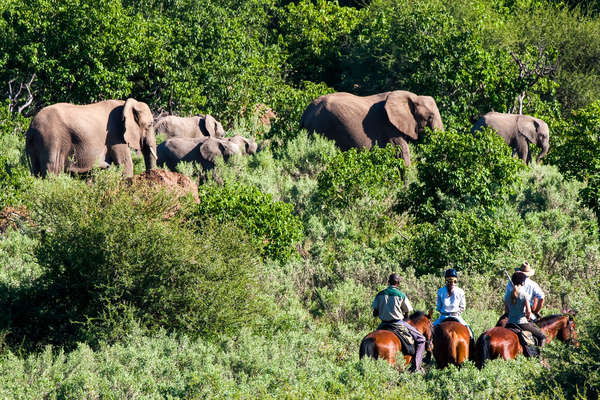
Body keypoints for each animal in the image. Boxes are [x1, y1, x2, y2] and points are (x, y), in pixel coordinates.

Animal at [25, 98, 157, 177]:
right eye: (150, 124)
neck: (124, 105)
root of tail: (31, 127)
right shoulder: (115, 134)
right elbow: (125, 163)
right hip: (51, 138)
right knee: (53, 168)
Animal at [300, 90, 446, 166]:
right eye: (430, 117)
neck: (413, 96)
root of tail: (305, 114)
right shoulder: (388, 125)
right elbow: (401, 151)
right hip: (322, 126)